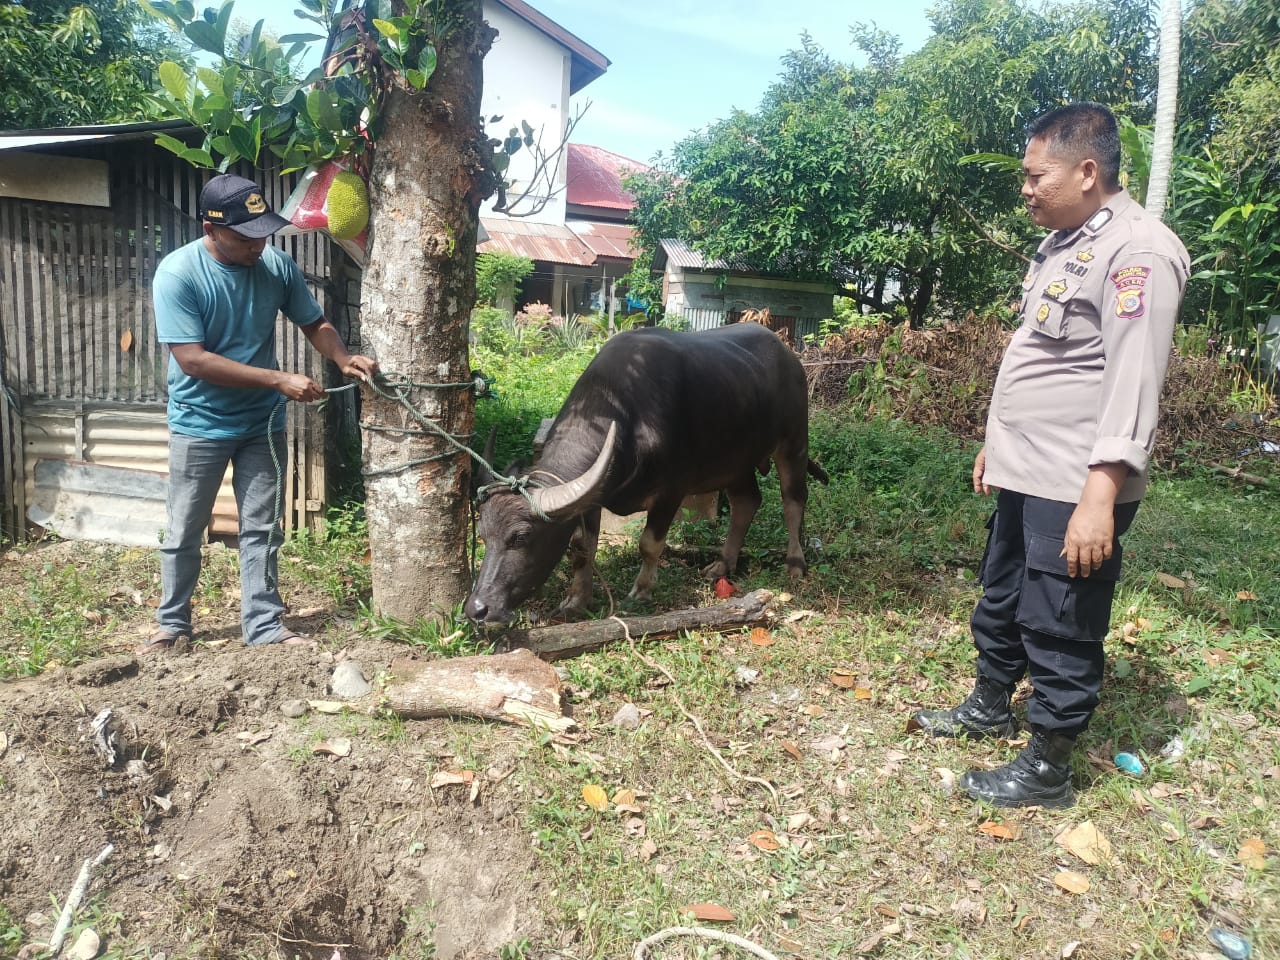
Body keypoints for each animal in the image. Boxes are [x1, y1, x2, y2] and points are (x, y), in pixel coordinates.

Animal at [465, 323, 824, 624]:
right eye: (482, 534)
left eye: (521, 537)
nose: (478, 609)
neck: (627, 417)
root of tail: (789, 356)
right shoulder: (589, 498)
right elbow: (582, 548)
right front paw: (576, 600)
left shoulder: (671, 493)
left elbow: (649, 544)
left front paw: (641, 591)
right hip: (735, 462)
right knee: (746, 501)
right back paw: (723, 563)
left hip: (794, 442)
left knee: (794, 500)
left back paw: (795, 563)